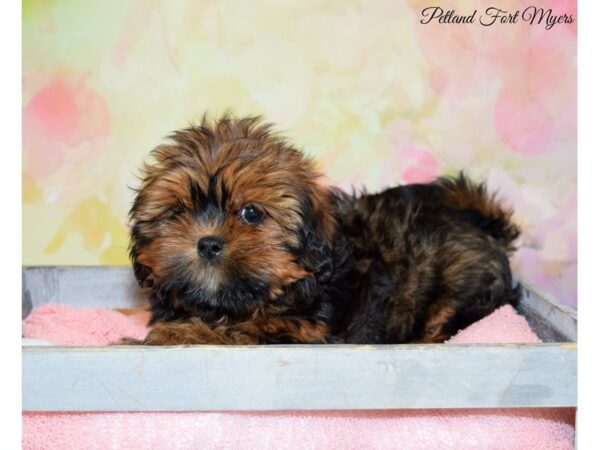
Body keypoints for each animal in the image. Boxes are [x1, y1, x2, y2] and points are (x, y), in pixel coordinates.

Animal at [127, 115, 520, 344]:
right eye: (178, 212)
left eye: (251, 213)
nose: (208, 243)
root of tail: (484, 224)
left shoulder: (302, 331)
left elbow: (236, 333)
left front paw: (173, 334)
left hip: (458, 293)